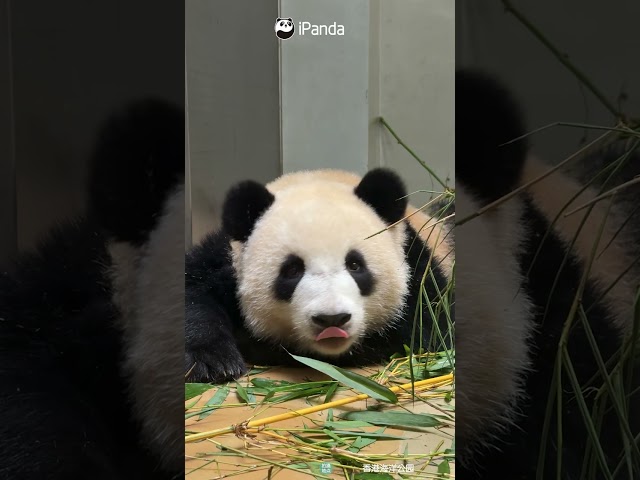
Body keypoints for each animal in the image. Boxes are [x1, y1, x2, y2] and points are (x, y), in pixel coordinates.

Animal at [184, 168, 454, 383]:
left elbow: (425, 329)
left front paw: (255, 343)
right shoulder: (225, 258)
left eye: (355, 265)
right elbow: (194, 293)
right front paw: (214, 363)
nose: (332, 319)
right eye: (292, 270)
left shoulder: (418, 268)